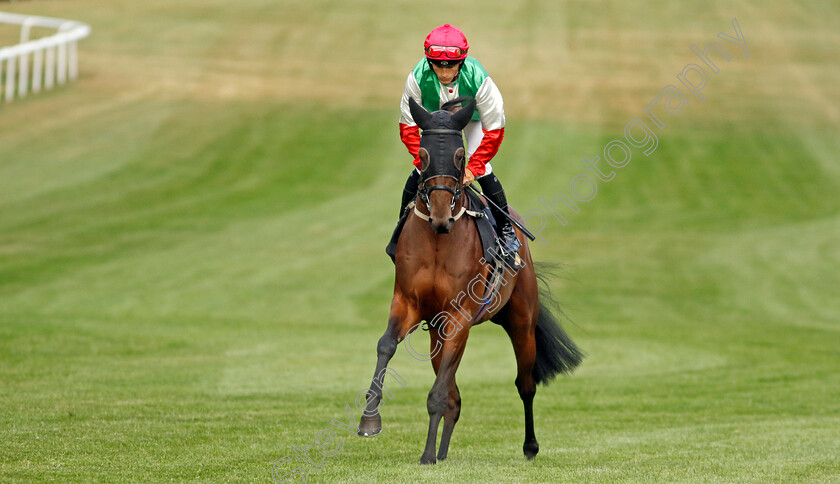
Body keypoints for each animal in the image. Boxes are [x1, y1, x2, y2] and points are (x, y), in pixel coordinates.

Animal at [356, 96, 584, 464]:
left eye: (461, 156)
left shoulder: (459, 315)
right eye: (422, 155)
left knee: (525, 384)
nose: (440, 214)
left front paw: (426, 455)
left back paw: (530, 446)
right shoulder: (408, 302)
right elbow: (386, 345)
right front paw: (370, 420)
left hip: (520, 320)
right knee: (455, 395)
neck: (438, 239)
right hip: (438, 331)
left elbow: (438, 394)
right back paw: (443, 451)